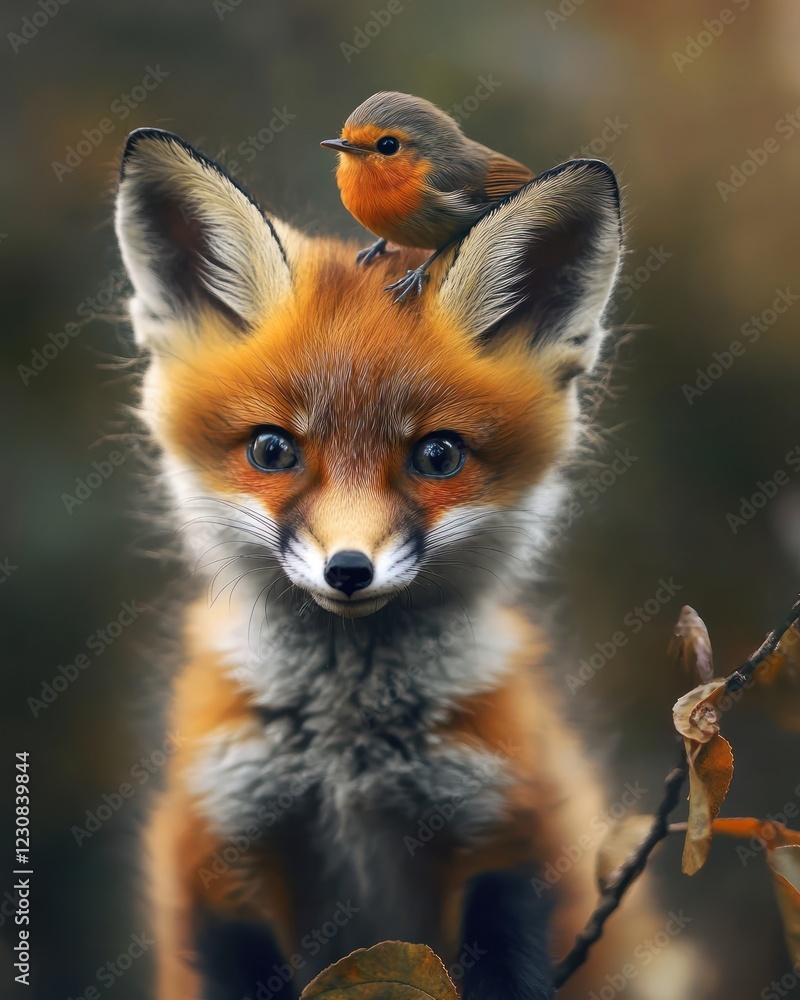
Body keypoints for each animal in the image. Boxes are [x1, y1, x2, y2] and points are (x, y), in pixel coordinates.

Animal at [113, 128, 706, 999]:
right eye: (272, 450)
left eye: (437, 455)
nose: (348, 571)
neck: (350, 748)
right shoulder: (218, 854)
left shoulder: (508, 837)